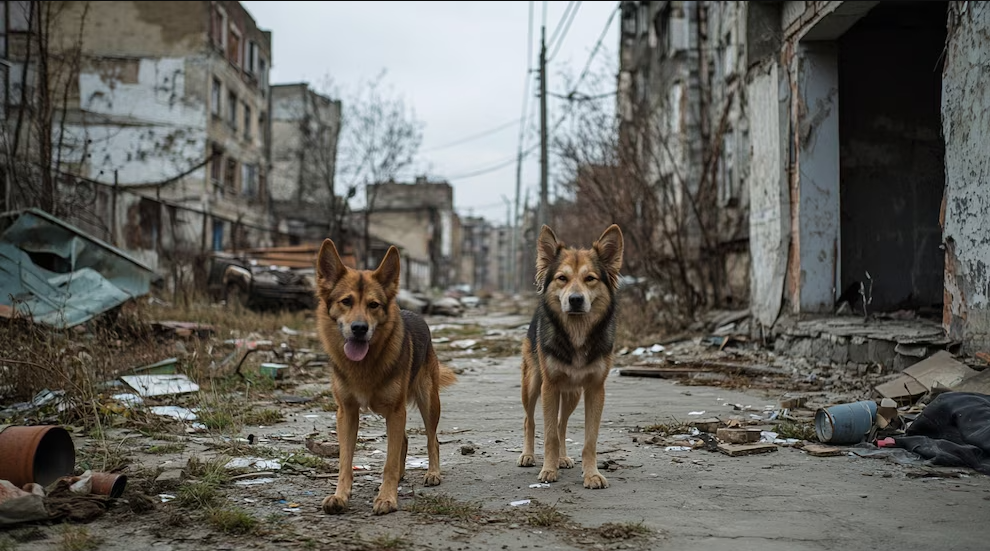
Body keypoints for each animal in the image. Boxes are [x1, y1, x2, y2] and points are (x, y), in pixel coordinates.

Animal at [316, 238, 460, 516]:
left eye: (374, 305)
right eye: (346, 301)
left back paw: (433, 473)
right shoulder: (346, 413)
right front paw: (340, 495)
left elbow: (389, 462)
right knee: (403, 439)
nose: (359, 329)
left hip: (428, 403)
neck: (364, 365)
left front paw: (387, 498)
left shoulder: (395, 411)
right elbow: (345, 461)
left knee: (432, 440)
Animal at [516, 225, 624, 492]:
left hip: (573, 394)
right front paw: (548, 470)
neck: (577, 333)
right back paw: (528, 455)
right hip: (532, 385)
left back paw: (563, 458)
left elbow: (588, 439)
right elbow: (549, 435)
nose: (575, 299)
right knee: (530, 420)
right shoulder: (550, 387)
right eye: (562, 278)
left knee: (561, 424)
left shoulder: (595, 389)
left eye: (590, 278)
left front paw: (591, 474)